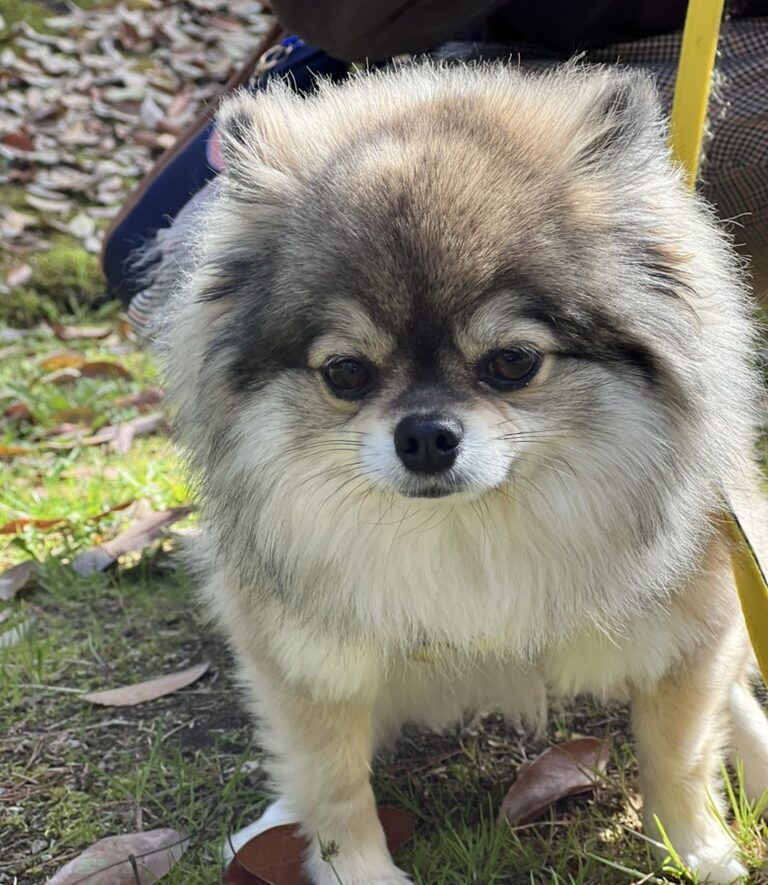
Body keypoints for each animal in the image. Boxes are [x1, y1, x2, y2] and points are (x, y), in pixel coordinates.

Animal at [165, 64, 768, 884]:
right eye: (346, 372)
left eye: (512, 362)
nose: (425, 435)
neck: (468, 530)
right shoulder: (303, 660)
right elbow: (332, 784)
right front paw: (357, 871)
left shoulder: (691, 632)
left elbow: (677, 752)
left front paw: (694, 848)